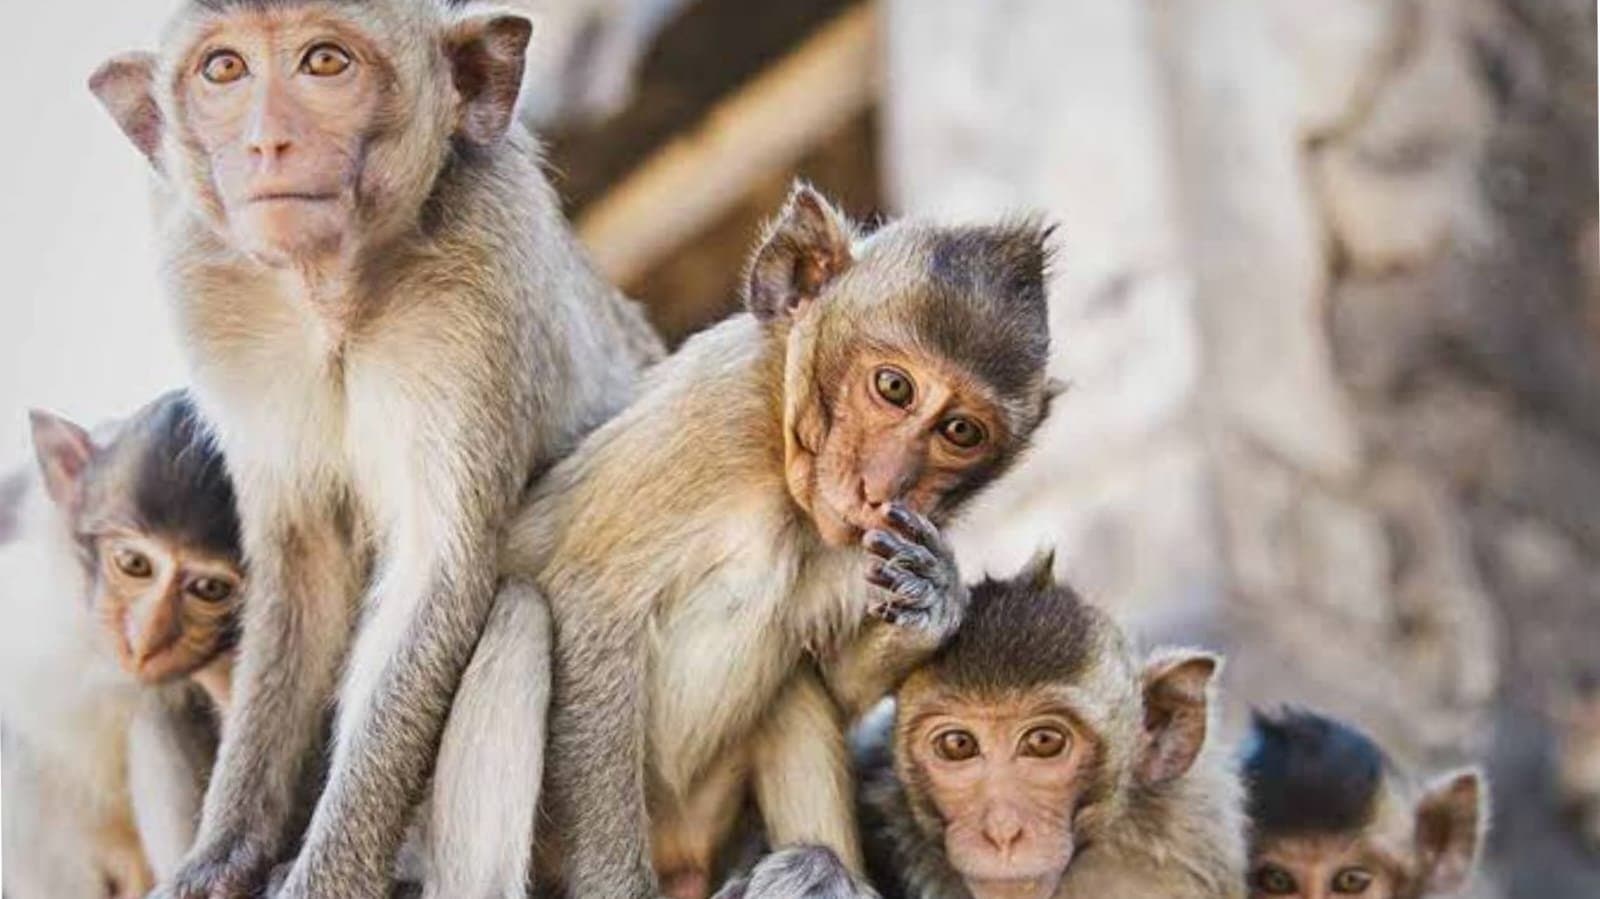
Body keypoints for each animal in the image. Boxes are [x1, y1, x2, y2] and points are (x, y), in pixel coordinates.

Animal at [89, 1, 663, 896]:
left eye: (326, 62)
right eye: (224, 70)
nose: (267, 143)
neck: (334, 298)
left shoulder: (482, 271)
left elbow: (438, 568)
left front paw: (326, 875)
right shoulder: (210, 292)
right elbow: (304, 559)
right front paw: (222, 853)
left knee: (515, 609)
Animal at [464, 183, 1056, 899]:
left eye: (961, 431)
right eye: (894, 387)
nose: (883, 487)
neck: (781, 475)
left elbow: (830, 678)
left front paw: (934, 600)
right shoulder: (713, 416)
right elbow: (590, 610)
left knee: (793, 688)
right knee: (521, 612)